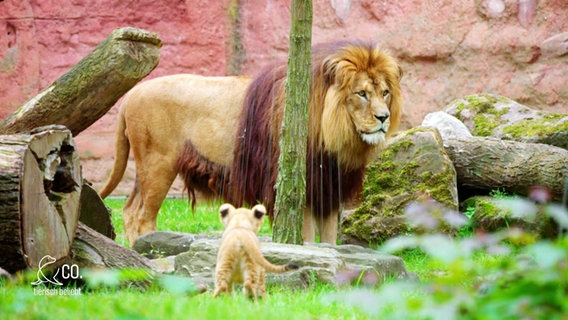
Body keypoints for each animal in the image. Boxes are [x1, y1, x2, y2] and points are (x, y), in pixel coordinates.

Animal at [102, 40, 404, 245]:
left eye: (385, 92)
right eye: (361, 93)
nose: (383, 118)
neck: (336, 137)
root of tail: (132, 94)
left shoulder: (328, 188)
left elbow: (329, 241)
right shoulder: (298, 188)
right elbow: (306, 238)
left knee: (129, 210)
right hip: (158, 164)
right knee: (143, 216)